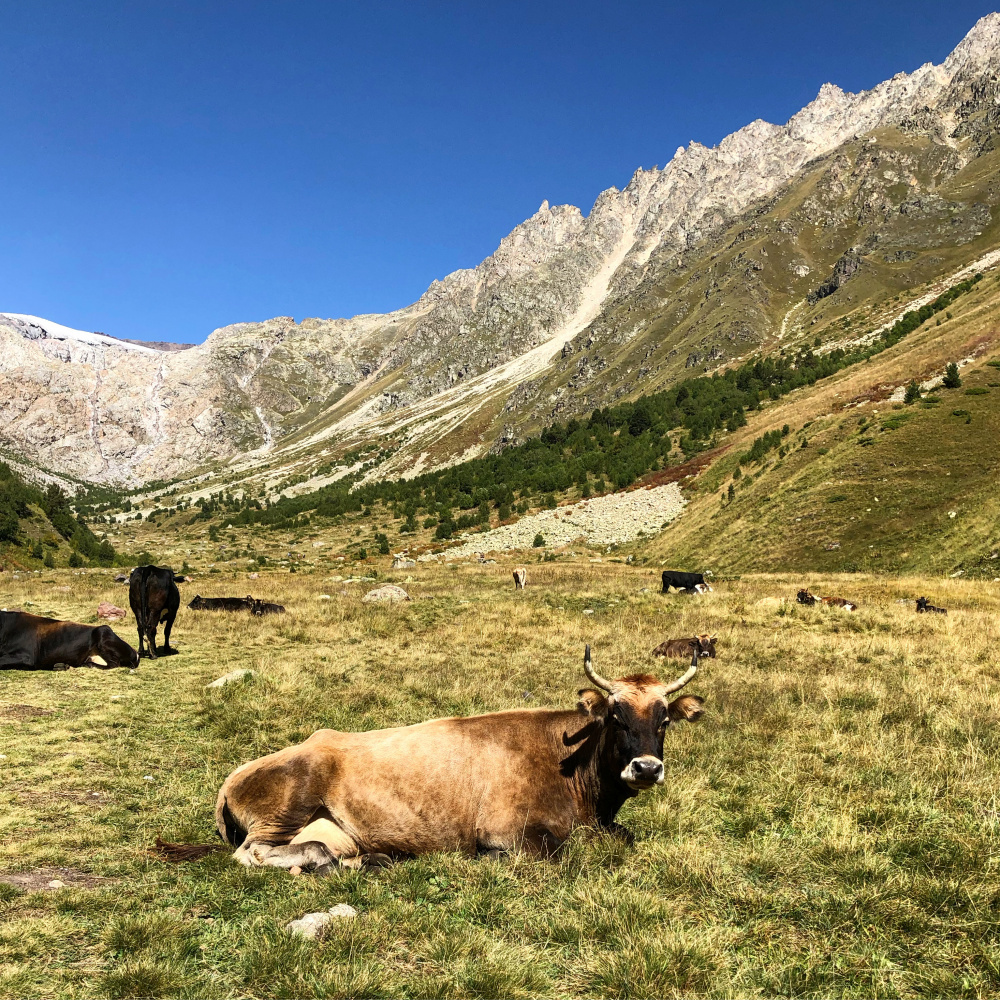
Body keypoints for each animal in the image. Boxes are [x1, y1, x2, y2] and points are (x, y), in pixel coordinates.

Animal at [156, 648, 704, 868]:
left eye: (665, 720)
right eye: (614, 716)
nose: (646, 768)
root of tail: (233, 777)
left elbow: (625, 838)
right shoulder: (509, 834)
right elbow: (559, 853)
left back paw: (365, 860)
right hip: (288, 804)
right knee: (251, 853)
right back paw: (327, 861)